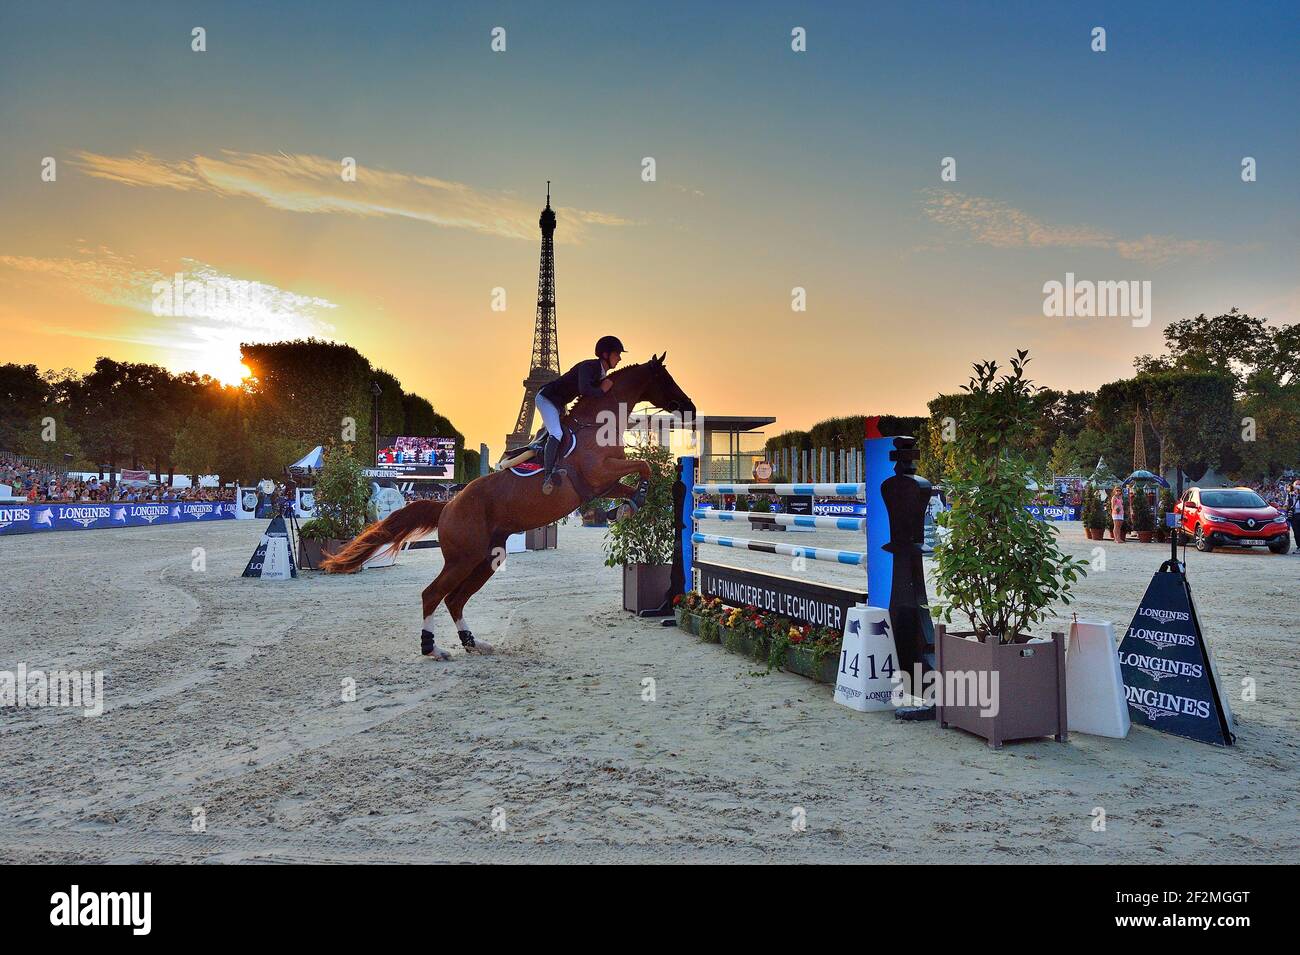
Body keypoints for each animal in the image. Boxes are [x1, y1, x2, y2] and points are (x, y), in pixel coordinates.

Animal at [319, 356, 696, 660]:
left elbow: (639, 475)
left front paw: (626, 507)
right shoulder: (599, 472)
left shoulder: (603, 483)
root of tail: (447, 506)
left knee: (455, 599)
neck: (597, 426)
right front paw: (630, 505)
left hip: (486, 559)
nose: (690, 406)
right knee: (434, 594)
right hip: (463, 558)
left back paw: (473, 643)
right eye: (665, 378)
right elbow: (643, 466)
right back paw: (432, 648)